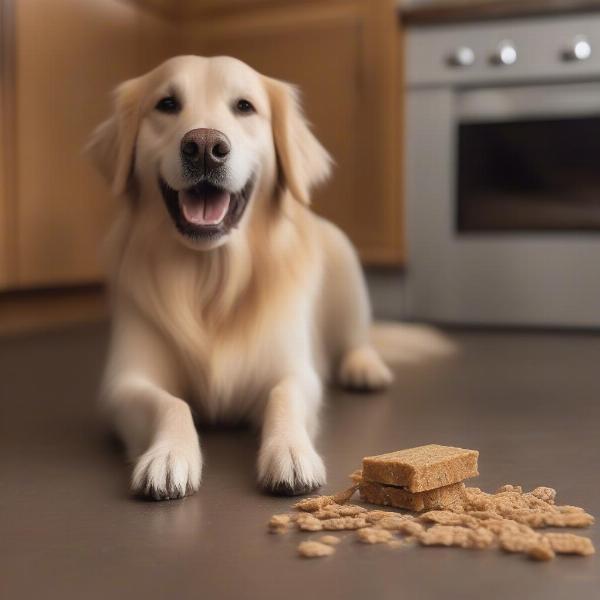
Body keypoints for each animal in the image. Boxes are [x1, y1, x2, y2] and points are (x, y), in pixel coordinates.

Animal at [86, 56, 392, 500]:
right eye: (166, 104)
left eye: (245, 106)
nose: (204, 147)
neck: (211, 276)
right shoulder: (126, 381)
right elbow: (171, 404)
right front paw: (168, 455)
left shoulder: (294, 370)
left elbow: (283, 396)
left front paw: (291, 452)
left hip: (346, 261)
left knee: (356, 339)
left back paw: (365, 369)